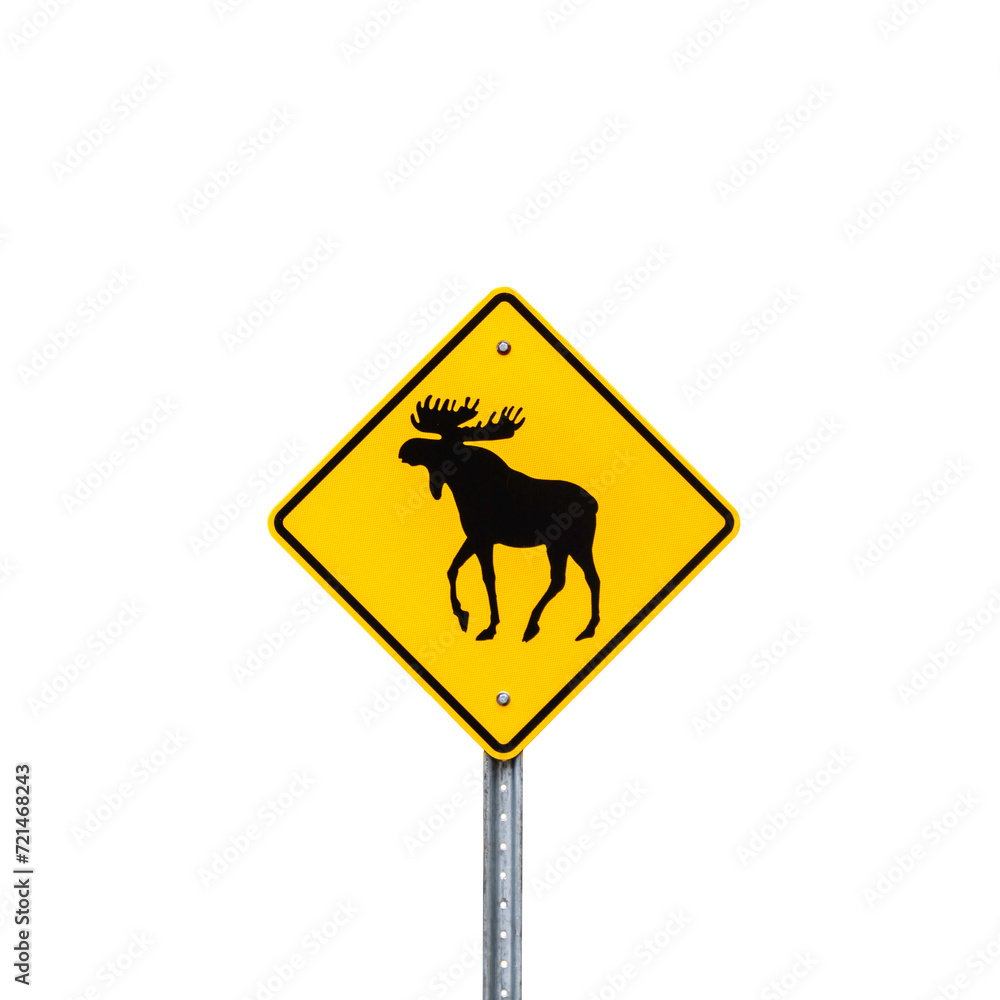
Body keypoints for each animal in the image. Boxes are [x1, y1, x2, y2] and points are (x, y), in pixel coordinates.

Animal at [398, 396, 600, 643]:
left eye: (441, 445)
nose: (406, 447)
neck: (464, 487)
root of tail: (594, 504)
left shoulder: (484, 539)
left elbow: (488, 577)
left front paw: (490, 626)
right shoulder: (473, 537)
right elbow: (452, 569)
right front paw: (462, 614)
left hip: (574, 544)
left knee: (585, 578)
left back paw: (573, 627)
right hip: (561, 546)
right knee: (568, 579)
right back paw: (548, 625)